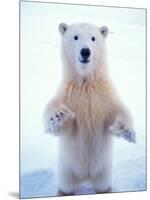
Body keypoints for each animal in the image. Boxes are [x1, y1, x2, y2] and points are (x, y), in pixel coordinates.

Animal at [43, 22, 136, 195]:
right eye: (75, 37)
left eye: (93, 38)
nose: (85, 51)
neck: (86, 82)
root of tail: (85, 176)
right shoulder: (69, 95)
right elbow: (61, 124)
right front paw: (58, 115)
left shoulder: (104, 95)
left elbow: (118, 110)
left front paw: (126, 130)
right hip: (67, 168)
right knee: (66, 186)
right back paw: (63, 191)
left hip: (104, 170)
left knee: (103, 185)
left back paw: (106, 190)